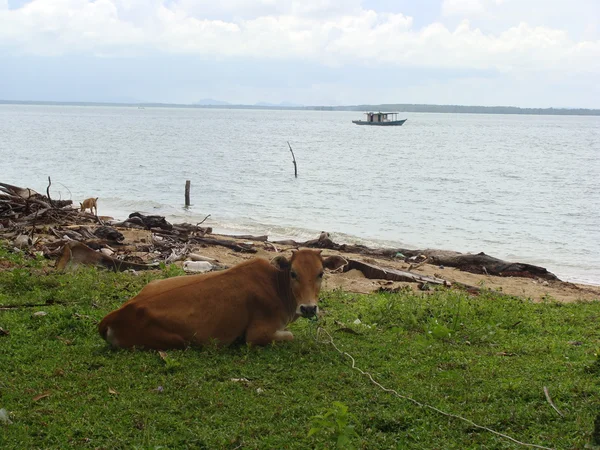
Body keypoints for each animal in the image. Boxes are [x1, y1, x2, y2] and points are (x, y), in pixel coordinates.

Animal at [99, 250, 346, 348]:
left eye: (321, 273)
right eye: (293, 273)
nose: (308, 308)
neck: (277, 286)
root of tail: (115, 315)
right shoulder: (257, 334)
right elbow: (291, 336)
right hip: (177, 341)